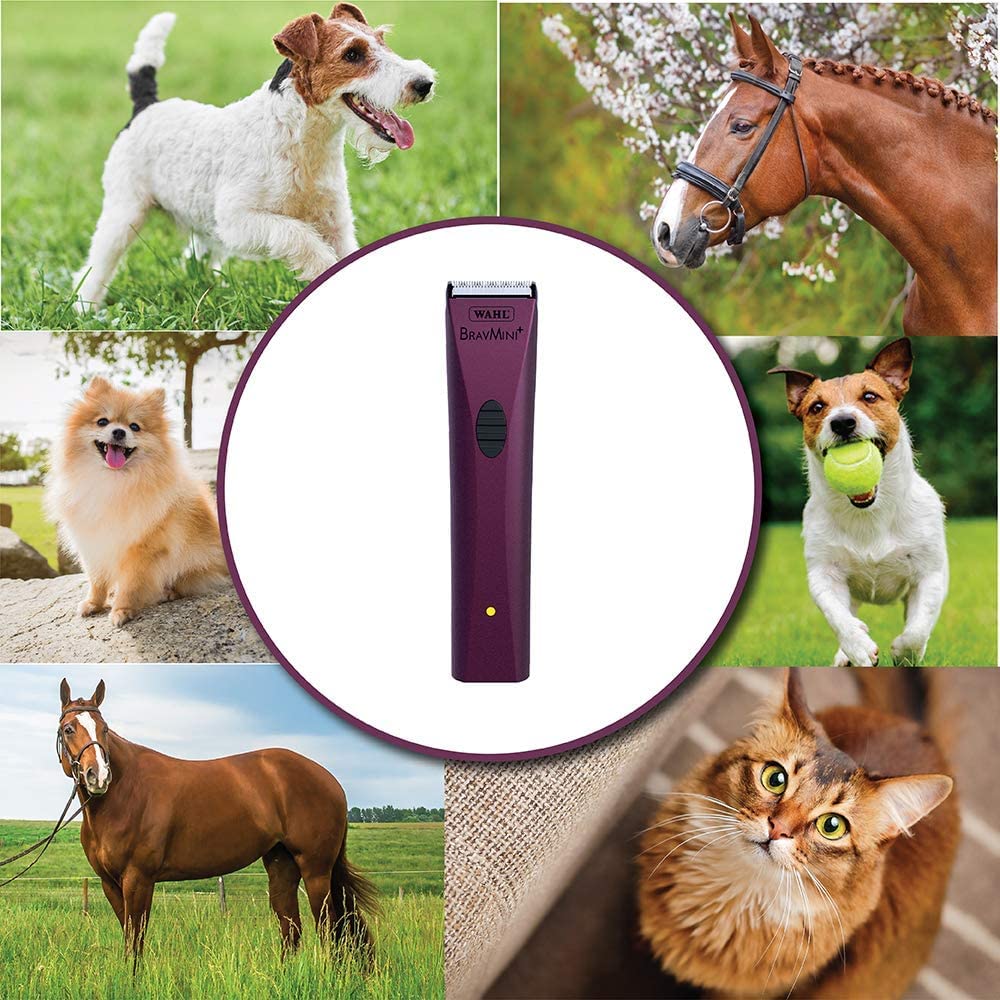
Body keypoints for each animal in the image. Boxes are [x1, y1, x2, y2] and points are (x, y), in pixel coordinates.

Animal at [56, 679, 377, 967]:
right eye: (68, 729)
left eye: (104, 729)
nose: (98, 776)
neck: (126, 793)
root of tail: (329, 779)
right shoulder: (110, 884)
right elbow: (129, 938)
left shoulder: (139, 879)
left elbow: (136, 941)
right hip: (282, 865)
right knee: (292, 929)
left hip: (316, 870)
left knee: (330, 929)